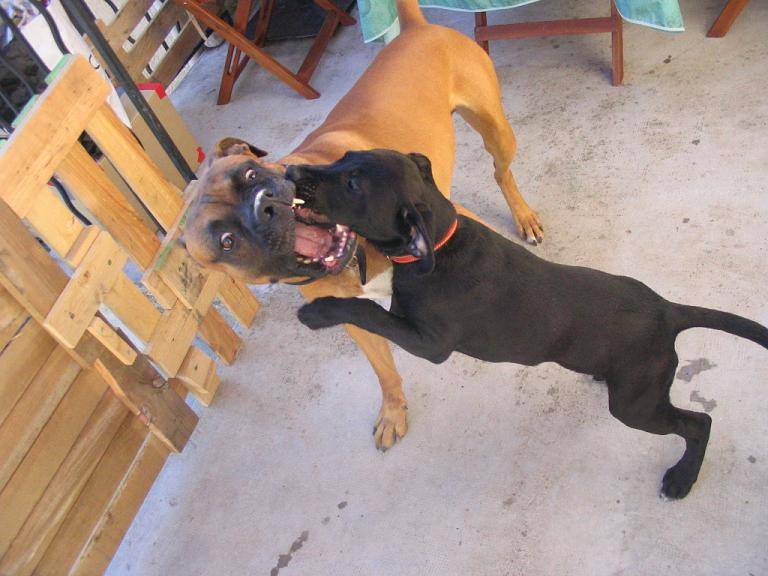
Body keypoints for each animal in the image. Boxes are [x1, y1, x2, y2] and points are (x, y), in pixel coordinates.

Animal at [182, 1, 542, 450]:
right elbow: (383, 370)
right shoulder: (357, 323)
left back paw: (523, 215)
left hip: (497, 132)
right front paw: (392, 412)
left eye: (249, 174)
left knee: (502, 173)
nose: (265, 204)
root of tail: (416, 29)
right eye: (226, 241)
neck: (357, 255)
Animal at [289, 149, 768, 499]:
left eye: (353, 184)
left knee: (698, 424)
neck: (440, 243)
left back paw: (683, 478)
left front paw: (319, 312)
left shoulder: (431, 343)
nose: (292, 171)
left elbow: (367, 310)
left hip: (634, 406)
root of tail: (668, 311)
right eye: (343, 156)